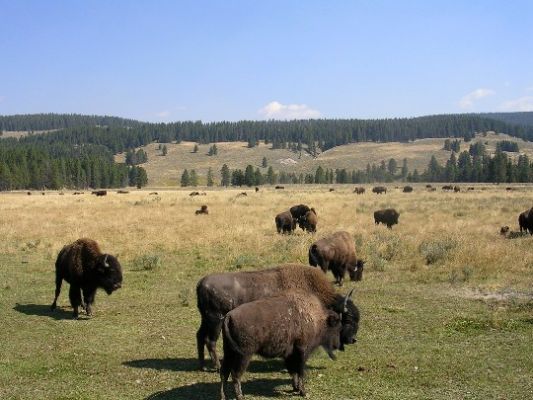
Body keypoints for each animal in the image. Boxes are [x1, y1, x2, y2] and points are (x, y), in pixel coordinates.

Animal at [193, 264, 360, 370]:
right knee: (210, 341)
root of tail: (201, 283)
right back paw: (216, 366)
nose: (353, 339)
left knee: (200, 336)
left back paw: (202, 365)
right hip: (216, 320)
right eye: (348, 320)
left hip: (206, 320)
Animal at [218, 290, 352, 398]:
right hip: (244, 355)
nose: (337, 345)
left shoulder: (290, 354)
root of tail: (229, 316)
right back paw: (240, 396)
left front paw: (296, 388)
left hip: (229, 351)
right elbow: (300, 371)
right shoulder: (302, 351)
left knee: (224, 372)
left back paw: (224, 396)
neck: (315, 318)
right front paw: (303, 392)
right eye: (337, 327)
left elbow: (293, 372)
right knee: (236, 374)